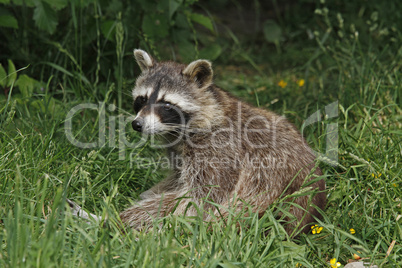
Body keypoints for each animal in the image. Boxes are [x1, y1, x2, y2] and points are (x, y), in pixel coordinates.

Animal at [116, 48, 326, 234]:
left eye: (167, 105)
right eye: (142, 99)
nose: (137, 124)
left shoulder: (220, 148)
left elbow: (203, 197)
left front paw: (158, 220)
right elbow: (178, 180)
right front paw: (150, 193)